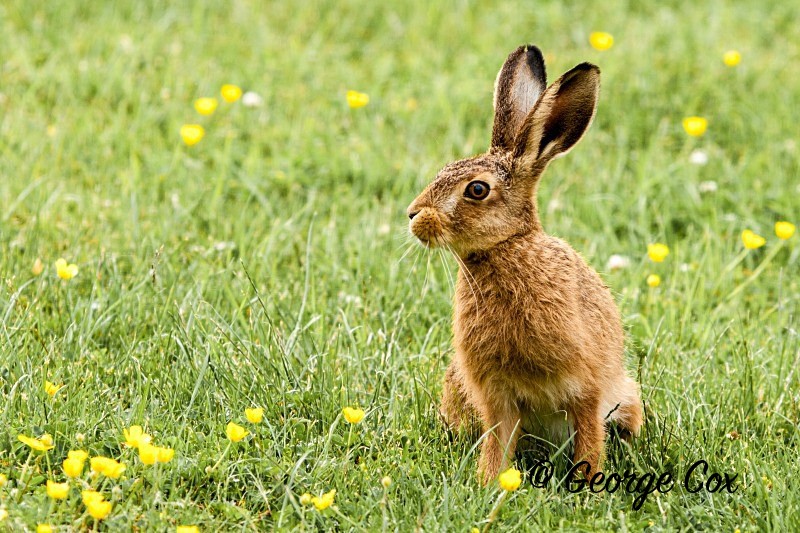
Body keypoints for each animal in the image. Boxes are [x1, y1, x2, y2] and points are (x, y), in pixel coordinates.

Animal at [407, 45, 643, 485]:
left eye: (476, 190)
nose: (413, 215)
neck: (506, 248)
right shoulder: (495, 394)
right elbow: (497, 442)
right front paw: (488, 483)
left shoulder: (585, 389)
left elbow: (589, 438)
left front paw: (587, 484)